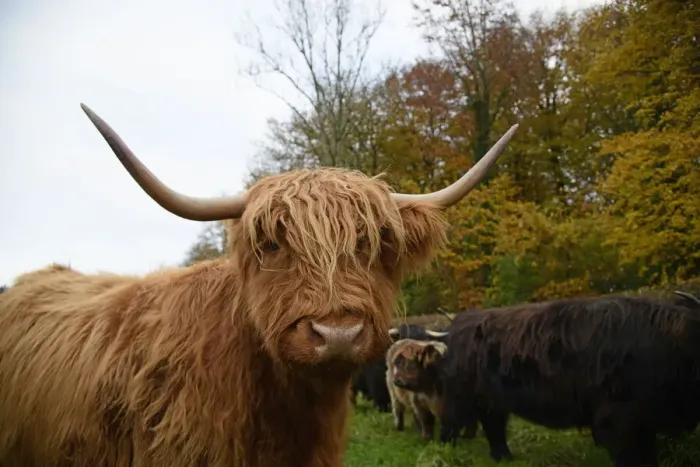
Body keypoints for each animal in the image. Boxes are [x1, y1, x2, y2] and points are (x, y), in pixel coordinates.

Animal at [438, 292, 700, 467]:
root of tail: (454, 326)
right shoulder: (618, 419)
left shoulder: (645, 421)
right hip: (461, 396)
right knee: (450, 424)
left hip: (492, 400)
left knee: (494, 424)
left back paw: (504, 458)